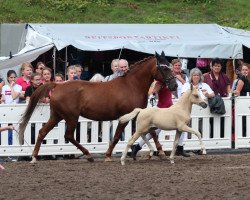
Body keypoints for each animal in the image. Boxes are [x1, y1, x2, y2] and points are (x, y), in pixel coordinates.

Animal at [18, 51, 177, 162]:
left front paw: (160, 152)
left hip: (57, 116)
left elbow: (152, 132)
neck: (132, 85)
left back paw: (34, 157)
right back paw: (88, 155)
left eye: (169, 66)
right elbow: (117, 136)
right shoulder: (125, 116)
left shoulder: (138, 114)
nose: (174, 85)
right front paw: (108, 155)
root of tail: (57, 85)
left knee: (42, 132)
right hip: (71, 117)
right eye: (164, 68)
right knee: (68, 135)